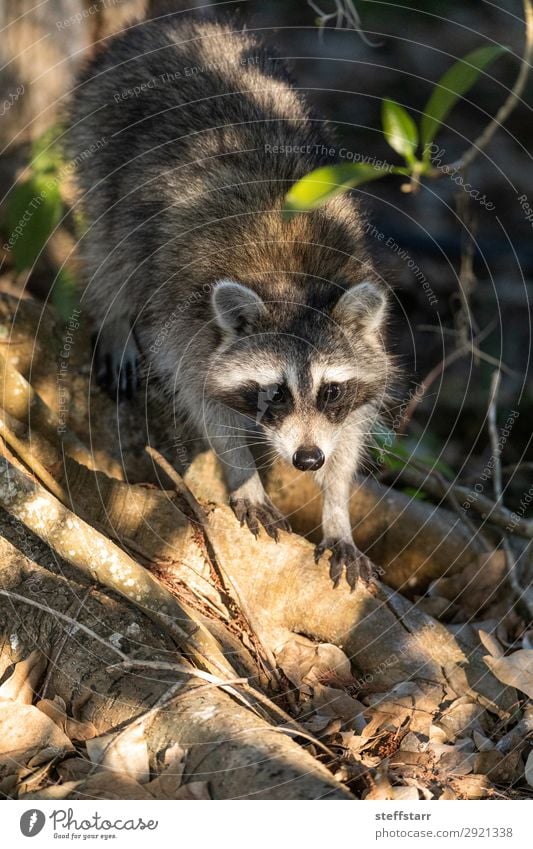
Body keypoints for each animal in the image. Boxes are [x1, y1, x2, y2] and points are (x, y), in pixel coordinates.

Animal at [69, 13, 390, 588]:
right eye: (275, 392)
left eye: (330, 390)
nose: (307, 460)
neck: (293, 281)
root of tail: (170, 25)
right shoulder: (187, 321)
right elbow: (202, 398)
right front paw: (244, 473)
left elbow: (351, 429)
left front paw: (337, 508)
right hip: (99, 134)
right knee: (112, 251)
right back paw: (114, 320)